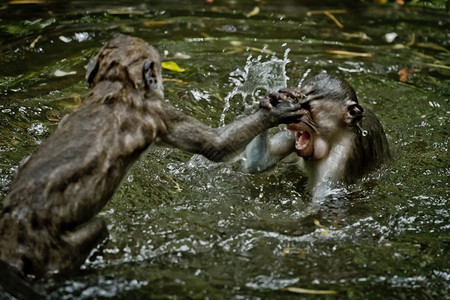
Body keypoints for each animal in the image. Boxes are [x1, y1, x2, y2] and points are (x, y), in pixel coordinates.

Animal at [0, 33, 302, 278]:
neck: (117, 84)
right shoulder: (158, 111)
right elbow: (216, 146)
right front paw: (274, 112)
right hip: (54, 250)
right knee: (97, 230)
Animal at [243, 71, 390, 191]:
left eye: (307, 108)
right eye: (296, 103)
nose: (291, 121)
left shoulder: (338, 160)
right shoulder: (292, 136)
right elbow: (259, 162)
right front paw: (271, 102)